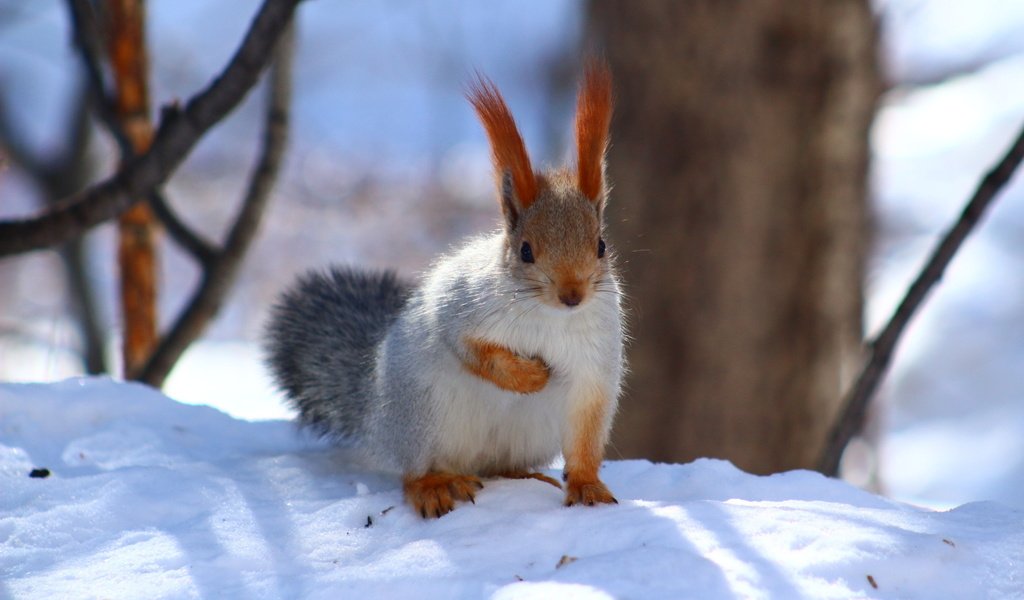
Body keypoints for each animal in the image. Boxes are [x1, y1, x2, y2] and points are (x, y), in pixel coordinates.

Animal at [262, 61, 622, 518]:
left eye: (601, 245)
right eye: (525, 251)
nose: (572, 295)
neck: (550, 317)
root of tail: (378, 418)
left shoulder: (595, 368)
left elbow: (587, 435)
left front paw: (588, 485)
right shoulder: (461, 306)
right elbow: (471, 349)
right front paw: (528, 376)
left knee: (498, 467)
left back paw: (523, 475)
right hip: (423, 413)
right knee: (414, 472)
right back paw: (432, 486)